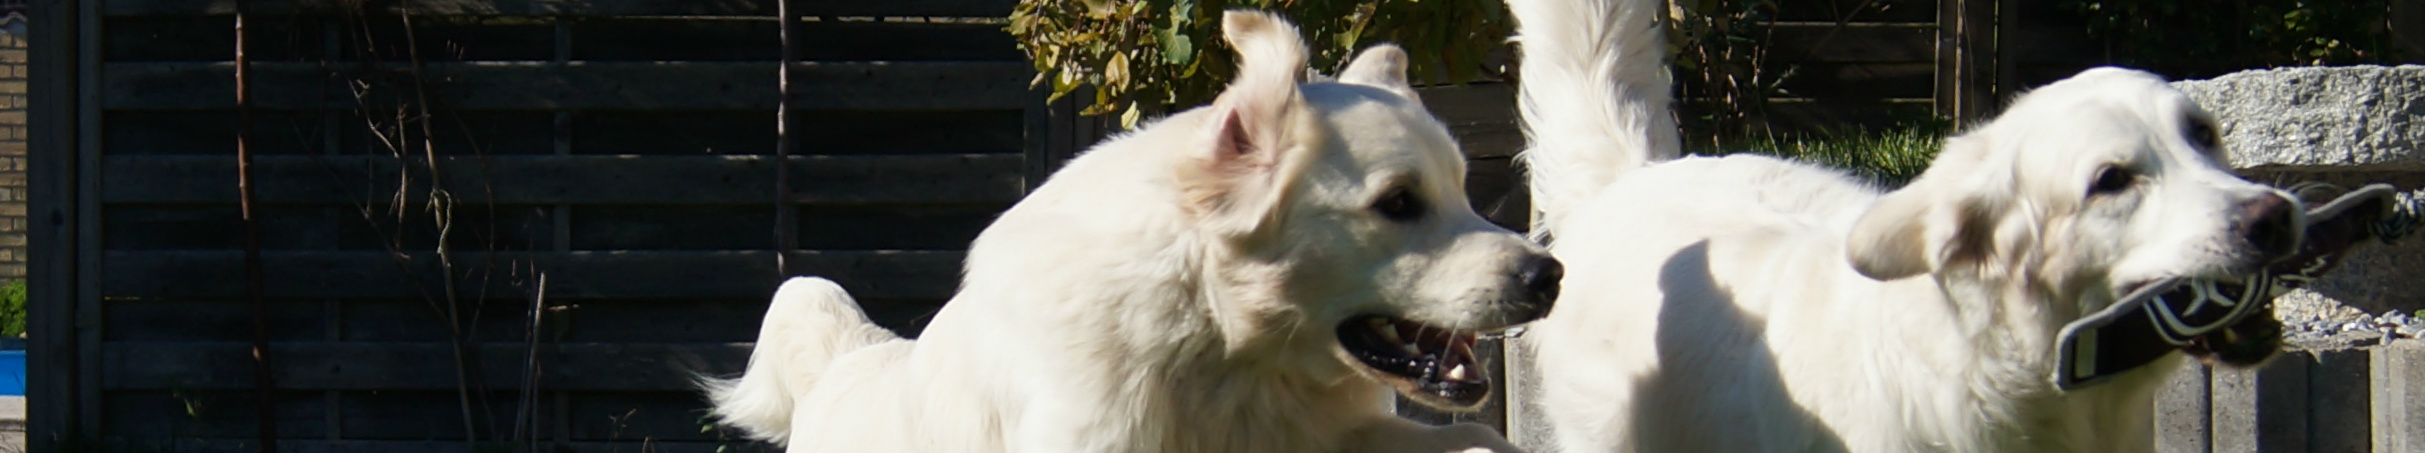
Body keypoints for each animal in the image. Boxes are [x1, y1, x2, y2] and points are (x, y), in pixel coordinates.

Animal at [708, 9, 1571, 450]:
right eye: (1397, 202)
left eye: (1461, 191)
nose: (1548, 275)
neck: (1214, 347)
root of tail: (851, 362)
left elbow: (1477, 437)